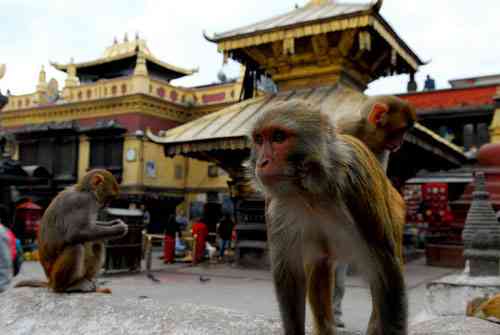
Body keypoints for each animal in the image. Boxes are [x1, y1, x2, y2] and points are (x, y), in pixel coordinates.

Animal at [248, 100, 408, 335]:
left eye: (278, 137)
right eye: (259, 140)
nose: (262, 162)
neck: (311, 191)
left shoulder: (356, 181)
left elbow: (386, 273)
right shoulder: (274, 204)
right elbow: (290, 276)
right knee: (320, 265)